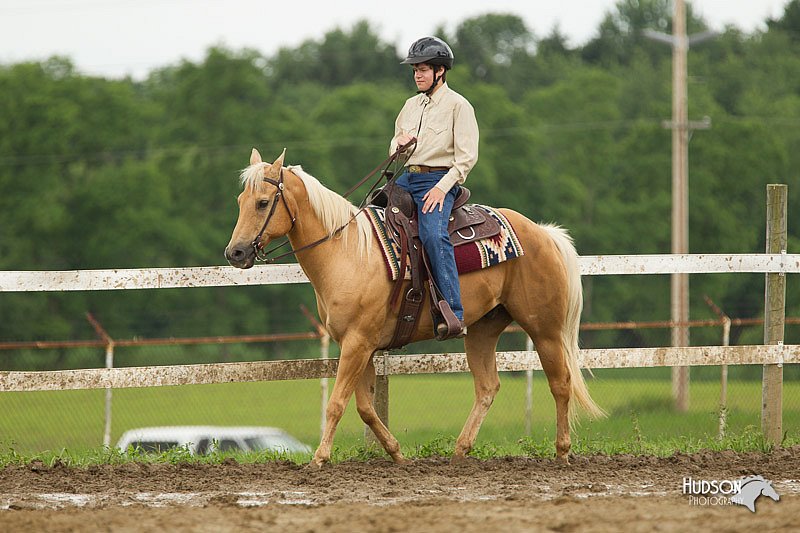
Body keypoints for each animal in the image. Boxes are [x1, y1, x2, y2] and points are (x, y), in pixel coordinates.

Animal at [223, 148, 600, 464]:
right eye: (240, 200)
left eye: (262, 202)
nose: (235, 252)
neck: (348, 251)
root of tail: (543, 233)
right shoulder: (359, 345)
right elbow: (365, 408)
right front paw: (396, 453)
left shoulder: (357, 343)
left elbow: (337, 404)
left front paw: (319, 458)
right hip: (483, 329)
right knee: (487, 387)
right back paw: (460, 451)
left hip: (544, 328)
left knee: (560, 383)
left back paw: (562, 452)